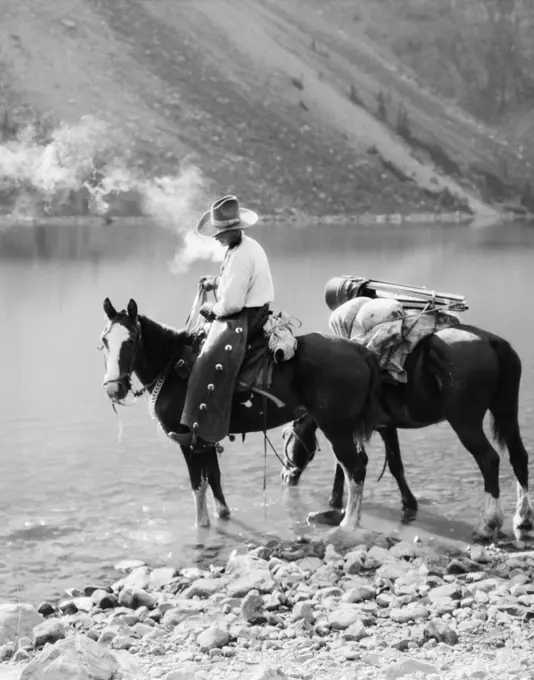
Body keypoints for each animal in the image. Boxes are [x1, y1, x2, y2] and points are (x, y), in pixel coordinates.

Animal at [100, 300, 384, 528]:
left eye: (131, 340)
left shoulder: (187, 439)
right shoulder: (204, 440)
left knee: (354, 468)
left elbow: (197, 484)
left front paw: (202, 525)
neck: (172, 367)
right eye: (104, 341)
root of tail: (361, 351)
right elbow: (213, 477)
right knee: (356, 465)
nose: (114, 388)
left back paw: (348, 525)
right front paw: (222, 514)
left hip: (336, 428)